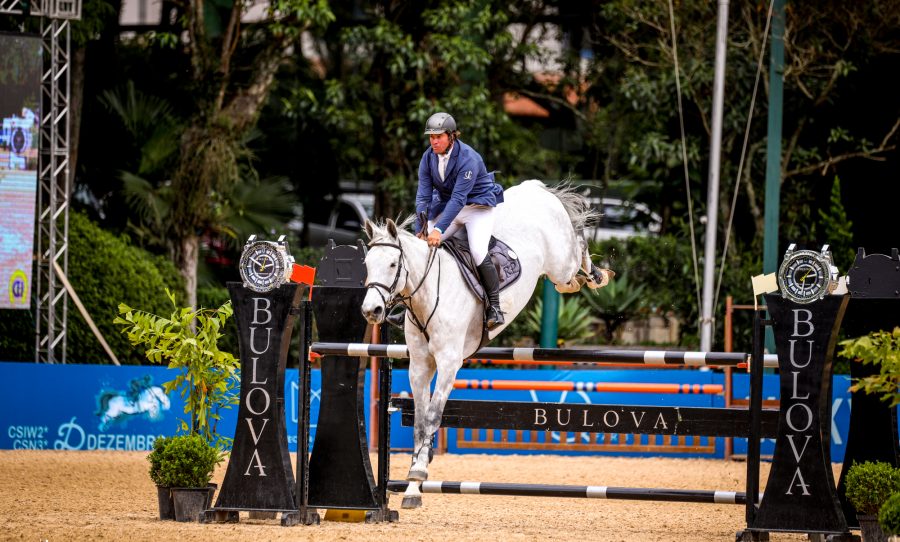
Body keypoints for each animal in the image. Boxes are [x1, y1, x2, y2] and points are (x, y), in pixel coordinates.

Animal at [358, 182, 612, 510]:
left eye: (392, 264)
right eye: (366, 264)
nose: (371, 311)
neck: (427, 293)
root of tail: (537, 189)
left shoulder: (449, 362)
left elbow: (433, 415)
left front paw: (418, 473)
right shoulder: (420, 365)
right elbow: (420, 421)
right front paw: (414, 484)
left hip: (560, 260)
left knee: (577, 249)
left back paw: (597, 275)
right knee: (567, 281)